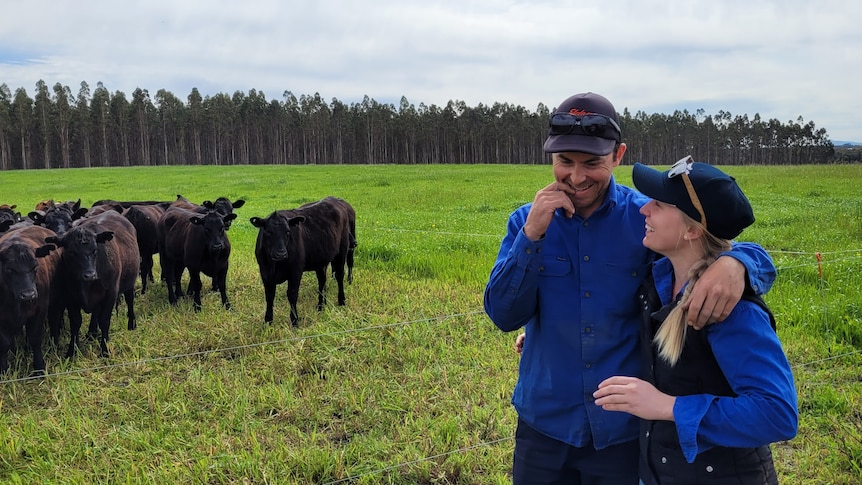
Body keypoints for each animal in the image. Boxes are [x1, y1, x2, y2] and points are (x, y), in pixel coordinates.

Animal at [0, 225, 60, 372]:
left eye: (35, 266)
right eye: (10, 269)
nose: (29, 294)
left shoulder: (40, 310)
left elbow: (35, 338)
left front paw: (39, 368)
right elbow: (4, 343)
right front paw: (3, 369)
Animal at [45, 210, 139, 358]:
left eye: (95, 249)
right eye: (71, 252)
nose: (90, 275)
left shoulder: (111, 293)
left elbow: (104, 321)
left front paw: (105, 350)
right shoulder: (70, 297)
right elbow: (75, 322)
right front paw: (72, 351)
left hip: (130, 282)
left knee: (130, 300)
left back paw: (131, 325)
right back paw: (91, 333)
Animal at [250, 196, 358, 326]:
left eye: (288, 231)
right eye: (268, 232)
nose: (281, 253)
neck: (275, 265)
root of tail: (336, 200)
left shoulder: (296, 271)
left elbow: (292, 294)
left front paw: (295, 320)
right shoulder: (265, 273)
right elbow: (269, 296)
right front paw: (268, 321)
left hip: (342, 251)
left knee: (340, 276)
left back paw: (341, 301)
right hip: (321, 260)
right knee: (322, 281)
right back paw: (321, 306)